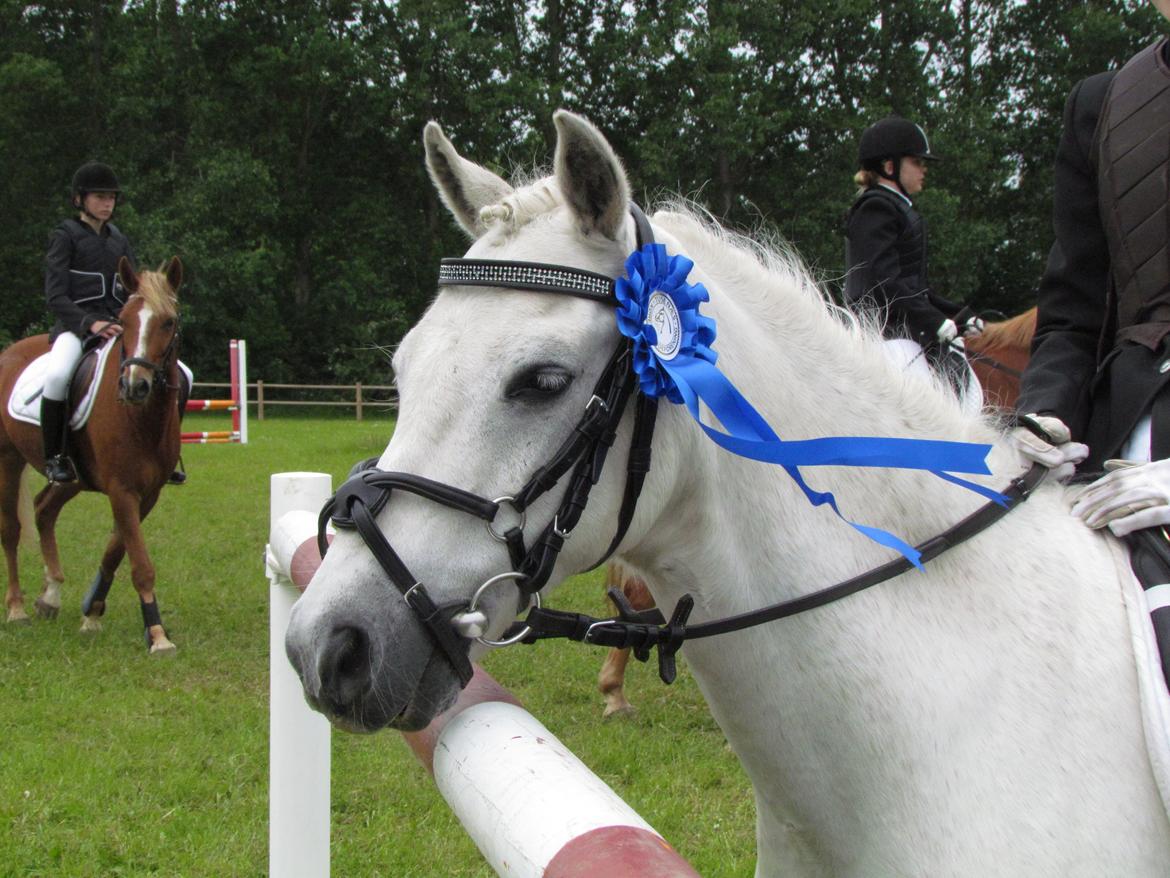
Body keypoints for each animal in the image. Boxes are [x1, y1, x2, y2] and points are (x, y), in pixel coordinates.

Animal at [0, 257, 183, 654]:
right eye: (124, 320)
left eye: (169, 321)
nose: (135, 385)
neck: (141, 418)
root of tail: (9, 353)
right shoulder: (122, 489)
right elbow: (140, 562)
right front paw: (157, 634)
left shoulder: (147, 493)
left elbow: (116, 550)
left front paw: (92, 613)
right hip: (8, 460)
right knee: (11, 529)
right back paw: (17, 609)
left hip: (74, 477)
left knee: (44, 509)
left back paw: (50, 596)